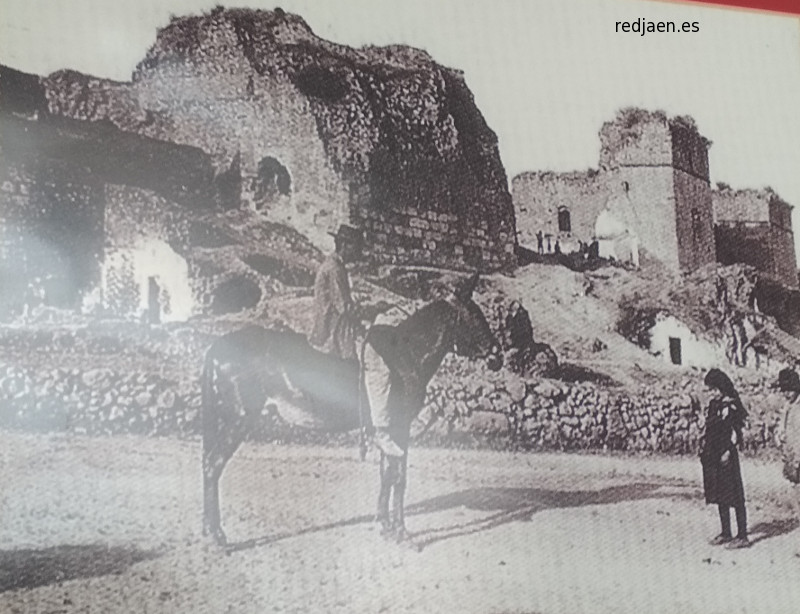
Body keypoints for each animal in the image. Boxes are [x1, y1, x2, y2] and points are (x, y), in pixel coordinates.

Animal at [200, 276, 500, 548]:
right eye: (474, 314)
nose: (497, 356)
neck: (406, 353)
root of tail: (216, 347)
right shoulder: (399, 428)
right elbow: (399, 478)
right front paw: (401, 533)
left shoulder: (387, 430)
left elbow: (386, 474)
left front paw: (385, 526)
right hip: (237, 420)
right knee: (213, 467)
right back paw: (217, 537)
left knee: (207, 465)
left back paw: (210, 531)